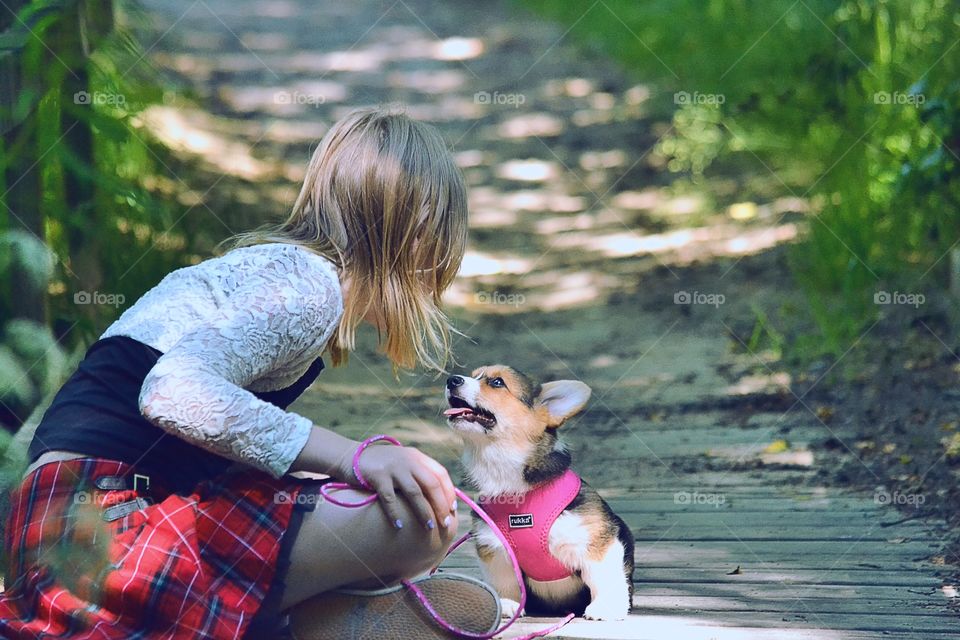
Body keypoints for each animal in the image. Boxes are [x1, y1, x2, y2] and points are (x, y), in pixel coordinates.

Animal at [444, 364, 636, 620]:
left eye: (497, 382)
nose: (451, 380)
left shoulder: (594, 540)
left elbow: (602, 576)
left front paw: (605, 607)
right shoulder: (495, 549)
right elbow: (505, 582)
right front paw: (507, 603)